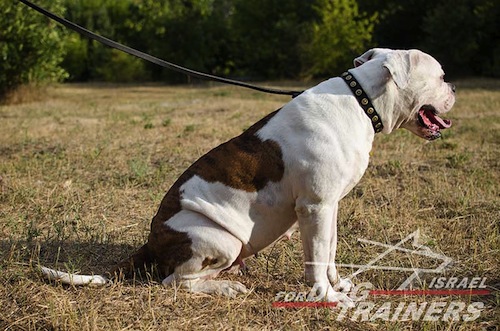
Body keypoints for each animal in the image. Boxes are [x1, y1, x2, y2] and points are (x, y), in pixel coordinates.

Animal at [41, 48, 456, 306]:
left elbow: (329, 249)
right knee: (176, 282)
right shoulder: (315, 206)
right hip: (220, 238)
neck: (361, 99)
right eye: (440, 76)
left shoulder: (329, 206)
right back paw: (224, 288)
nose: (453, 86)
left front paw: (338, 284)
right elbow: (317, 256)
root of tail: (151, 242)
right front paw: (326, 296)